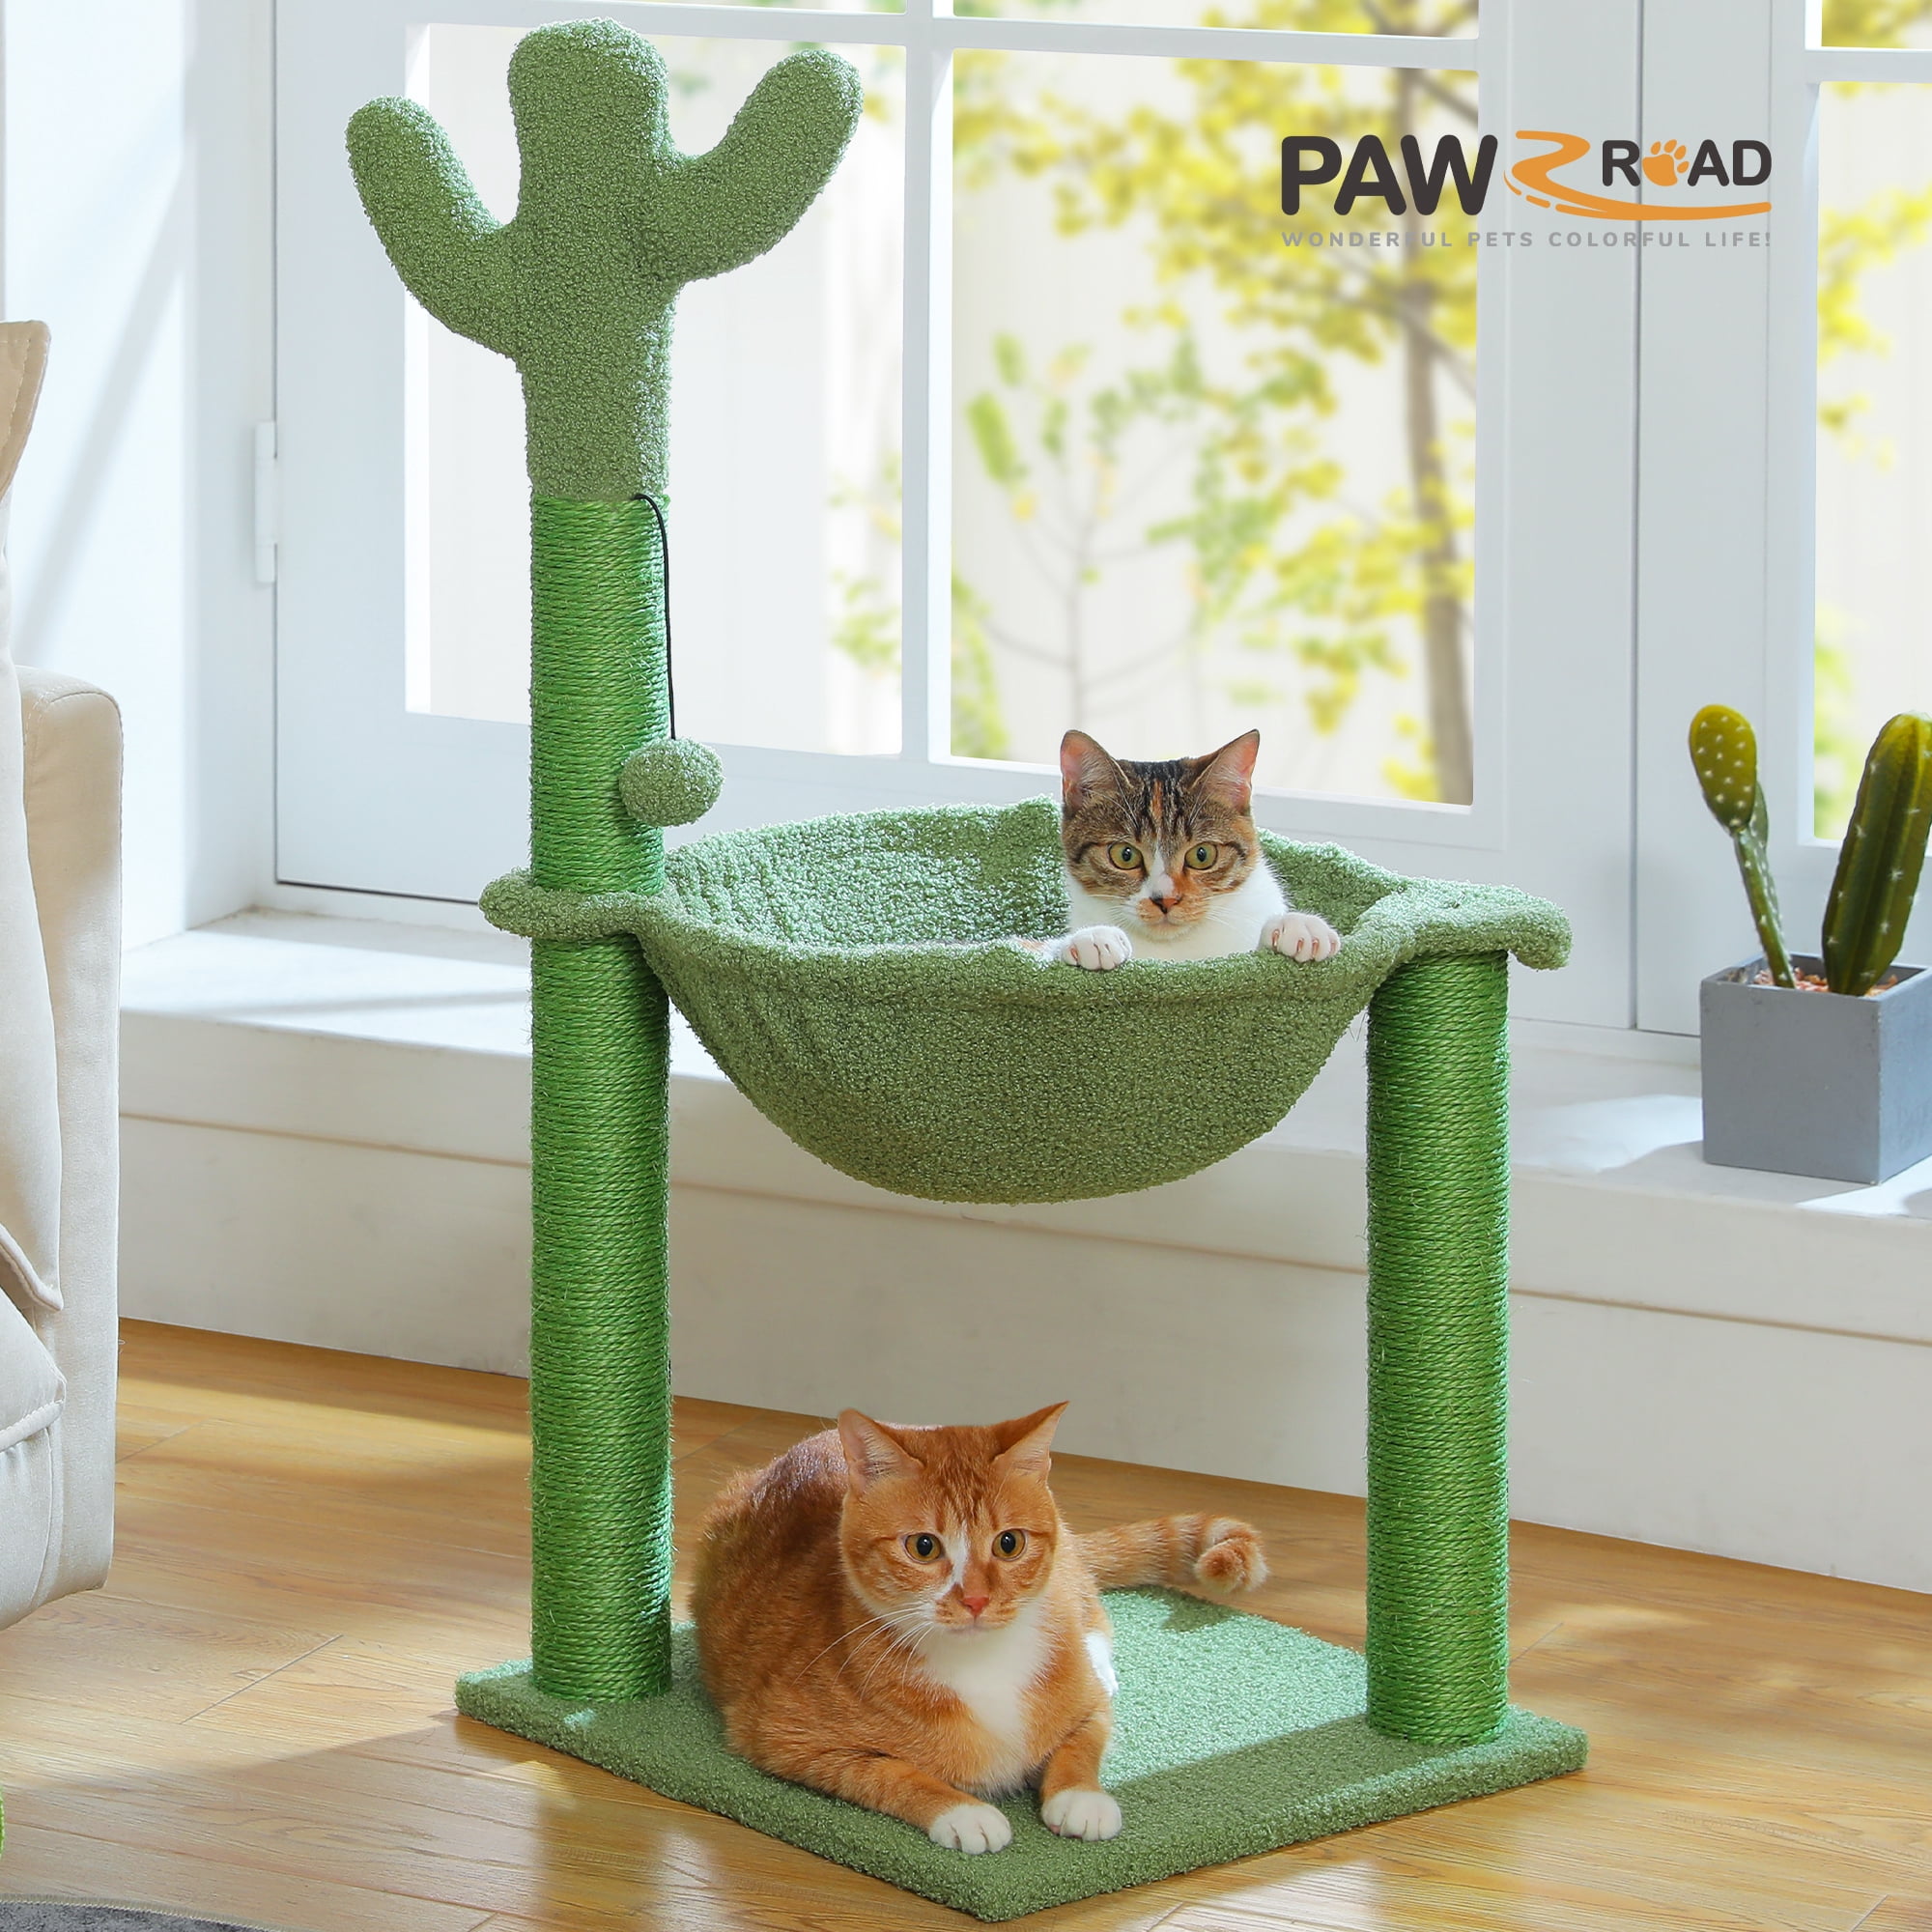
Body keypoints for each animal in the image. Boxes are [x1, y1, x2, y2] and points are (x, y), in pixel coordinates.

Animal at [692, 1403, 1267, 1852]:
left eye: (1008, 1543)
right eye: (923, 1546)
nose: (975, 1599)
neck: (985, 1662)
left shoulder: (1082, 1699)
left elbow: (1085, 1736)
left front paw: (1080, 1796)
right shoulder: (780, 1733)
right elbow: (887, 1772)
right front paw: (964, 1812)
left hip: (1069, 1572)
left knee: (1092, 1607)